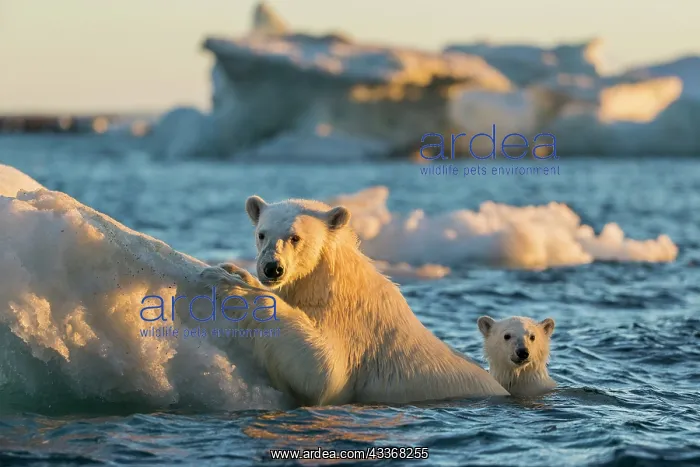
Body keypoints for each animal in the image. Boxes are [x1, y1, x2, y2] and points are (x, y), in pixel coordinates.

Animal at [198, 195, 509, 406]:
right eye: (262, 234)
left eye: (295, 237)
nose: (272, 268)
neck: (330, 284)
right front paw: (236, 272)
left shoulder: (352, 328)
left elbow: (324, 373)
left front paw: (227, 283)